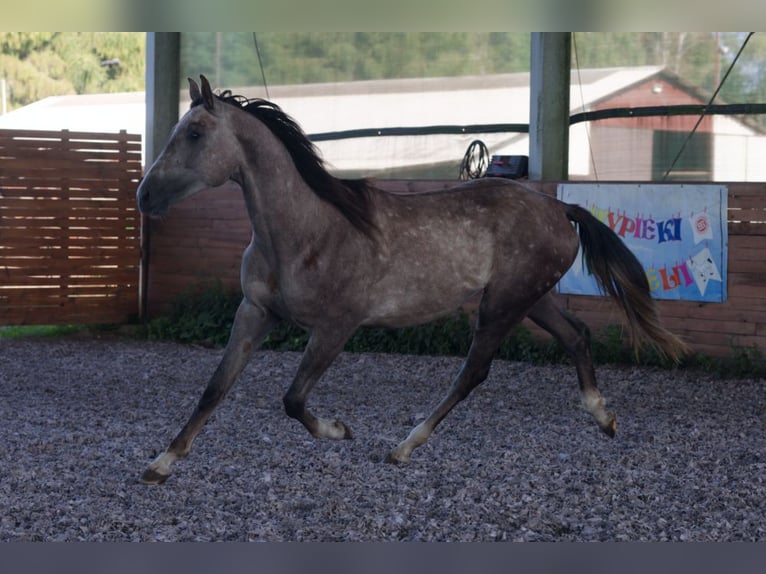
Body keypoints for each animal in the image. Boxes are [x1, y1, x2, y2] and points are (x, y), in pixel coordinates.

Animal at [136, 75, 688, 484]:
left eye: (195, 133)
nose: (144, 197)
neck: (305, 230)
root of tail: (560, 208)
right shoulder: (255, 312)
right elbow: (215, 388)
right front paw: (161, 464)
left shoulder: (336, 326)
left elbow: (293, 399)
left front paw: (340, 431)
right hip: (531, 299)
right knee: (577, 335)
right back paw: (604, 417)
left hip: (503, 305)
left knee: (474, 372)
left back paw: (404, 447)